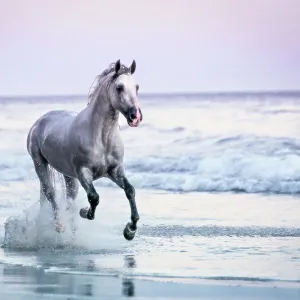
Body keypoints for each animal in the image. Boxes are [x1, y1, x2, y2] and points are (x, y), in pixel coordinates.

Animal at [26, 59, 143, 241]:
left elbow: (130, 190)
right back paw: (59, 225)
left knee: (69, 200)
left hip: (68, 175)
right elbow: (94, 198)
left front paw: (130, 230)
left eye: (136, 87)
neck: (101, 138)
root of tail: (40, 121)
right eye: (119, 87)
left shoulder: (115, 171)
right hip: (40, 164)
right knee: (50, 194)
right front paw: (85, 212)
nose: (135, 116)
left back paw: (73, 234)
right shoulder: (83, 172)